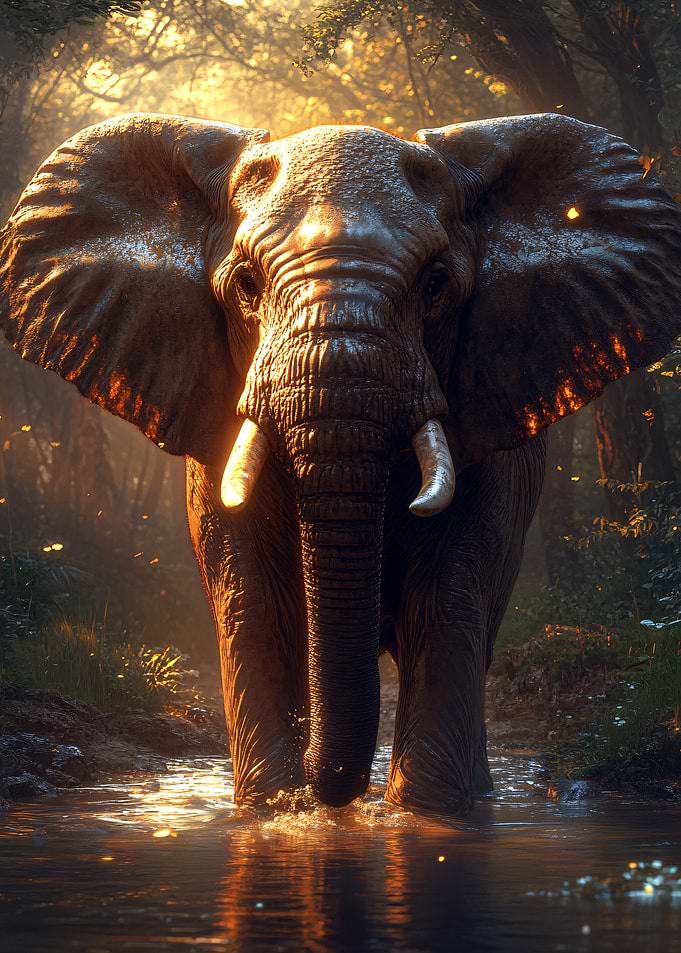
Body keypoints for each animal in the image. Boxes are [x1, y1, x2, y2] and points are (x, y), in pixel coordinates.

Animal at [1, 112, 680, 814]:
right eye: (245, 286)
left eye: (435, 287)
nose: (328, 792)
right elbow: (255, 607)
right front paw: (275, 809)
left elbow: (448, 602)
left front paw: (428, 814)